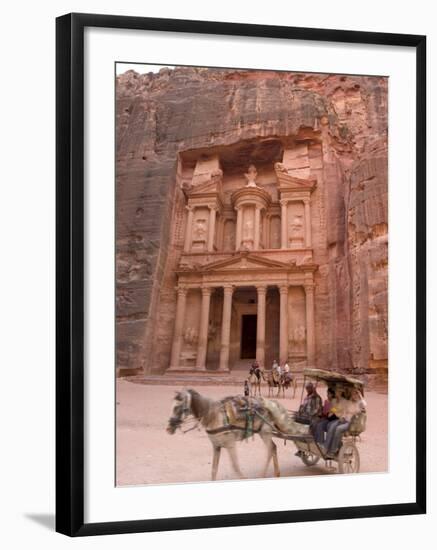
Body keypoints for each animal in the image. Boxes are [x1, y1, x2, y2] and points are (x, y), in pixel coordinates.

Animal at [166, 388, 306, 484]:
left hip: (264, 432)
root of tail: (268, 402)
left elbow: (235, 467)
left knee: (270, 449)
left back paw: (263, 474)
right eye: (172, 407)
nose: (168, 428)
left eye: (177, 407)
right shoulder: (216, 446)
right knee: (273, 448)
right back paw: (276, 474)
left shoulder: (230, 444)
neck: (213, 416)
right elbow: (214, 470)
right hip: (264, 432)